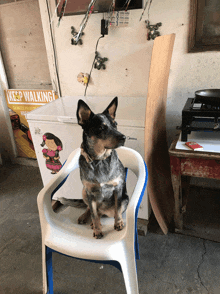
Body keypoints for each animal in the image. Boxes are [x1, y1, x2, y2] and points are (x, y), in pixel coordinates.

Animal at [75, 97, 129, 238]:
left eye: (115, 124)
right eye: (101, 127)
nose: (124, 137)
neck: (99, 160)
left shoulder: (118, 188)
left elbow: (117, 209)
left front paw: (118, 223)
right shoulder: (89, 191)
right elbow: (93, 214)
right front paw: (97, 230)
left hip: (125, 199)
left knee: (107, 212)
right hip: (83, 192)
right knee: (92, 210)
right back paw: (87, 218)